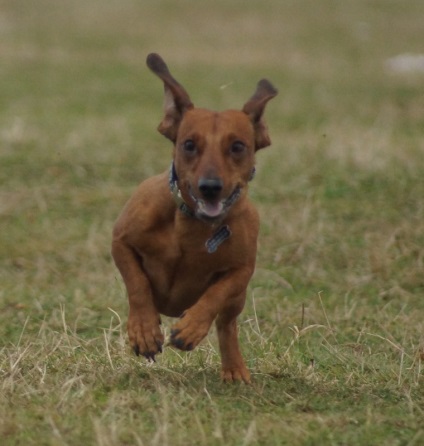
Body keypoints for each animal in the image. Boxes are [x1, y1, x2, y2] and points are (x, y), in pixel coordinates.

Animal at [111, 53, 276, 384]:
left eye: (237, 146)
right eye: (189, 144)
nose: (210, 187)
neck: (192, 225)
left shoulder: (242, 271)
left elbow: (215, 294)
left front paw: (191, 328)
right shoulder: (120, 240)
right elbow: (137, 282)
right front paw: (144, 330)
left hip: (239, 299)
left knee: (227, 324)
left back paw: (234, 368)